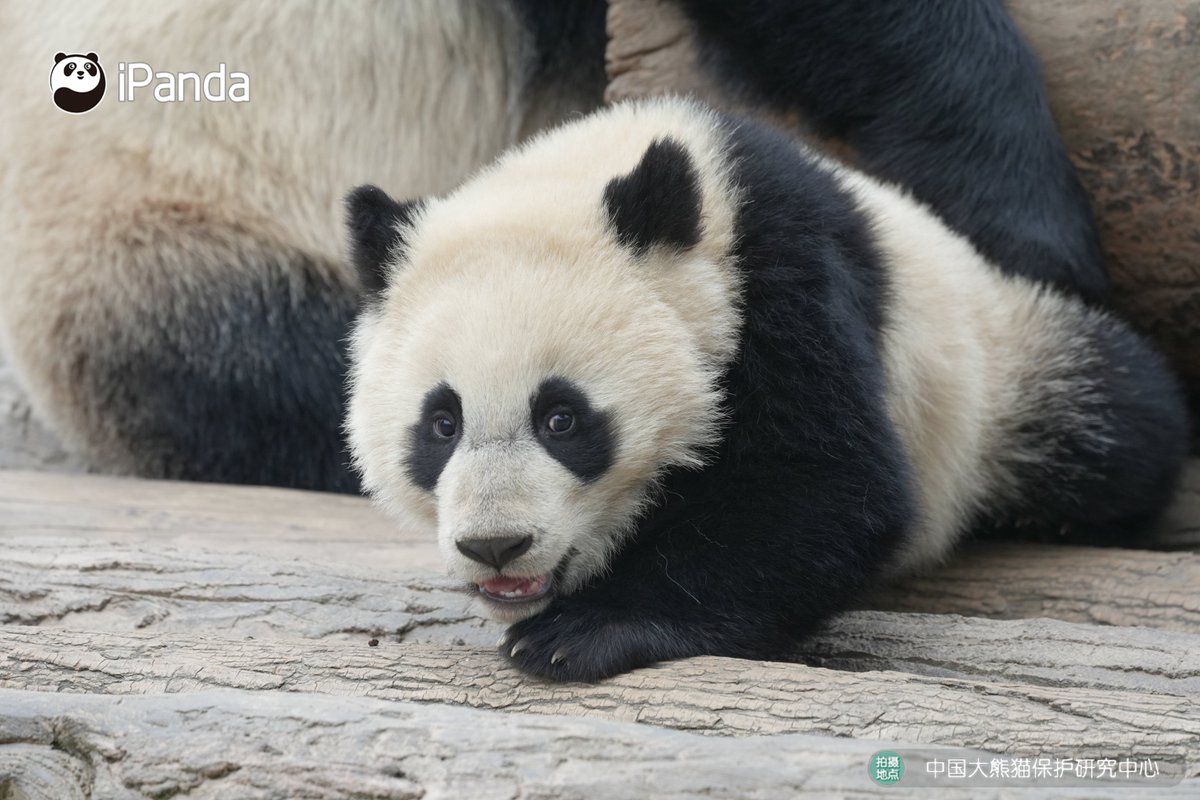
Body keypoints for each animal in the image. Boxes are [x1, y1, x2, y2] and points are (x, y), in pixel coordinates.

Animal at [344, 97, 1187, 681]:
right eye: (441, 424)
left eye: (562, 419)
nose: (496, 546)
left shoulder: (782, 276)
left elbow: (822, 484)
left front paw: (581, 633)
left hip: (1004, 378)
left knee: (1117, 424)